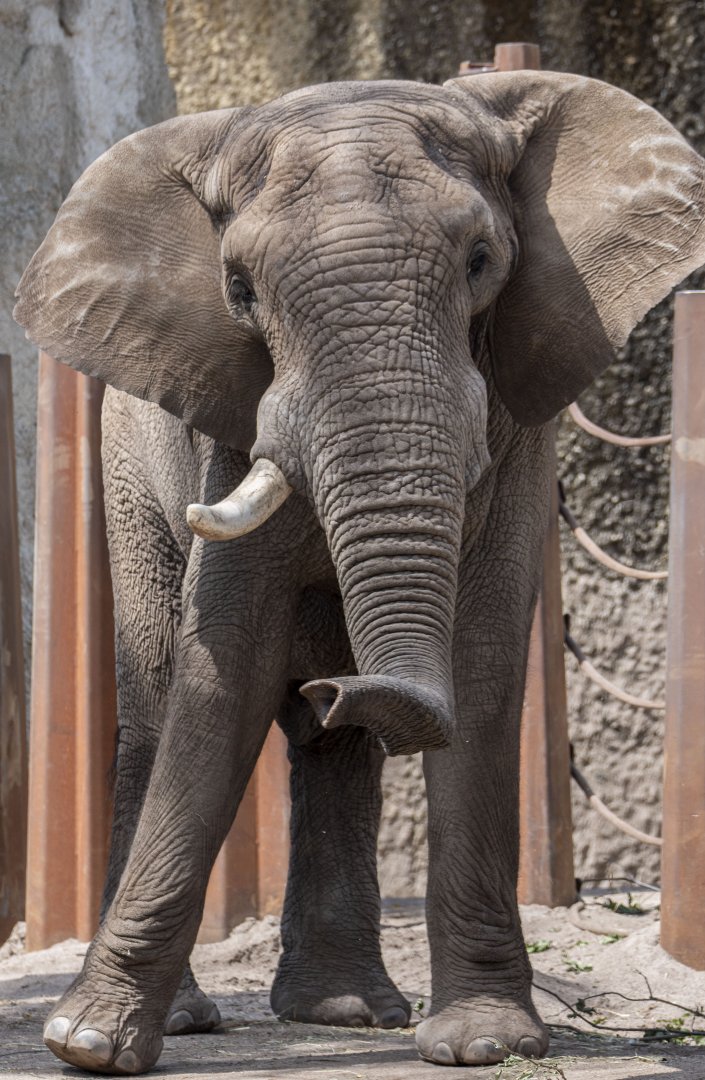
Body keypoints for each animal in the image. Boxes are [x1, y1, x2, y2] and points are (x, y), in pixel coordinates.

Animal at [15, 70, 705, 1074]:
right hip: (123, 463)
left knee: (331, 750)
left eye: (481, 261)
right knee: (152, 705)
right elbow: (223, 665)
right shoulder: (226, 420)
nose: (339, 684)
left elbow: (482, 658)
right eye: (238, 289)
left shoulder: (519, 408)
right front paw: (91, 1045)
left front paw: (484, 1044)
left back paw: (342, 1011)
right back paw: (198, 1016)